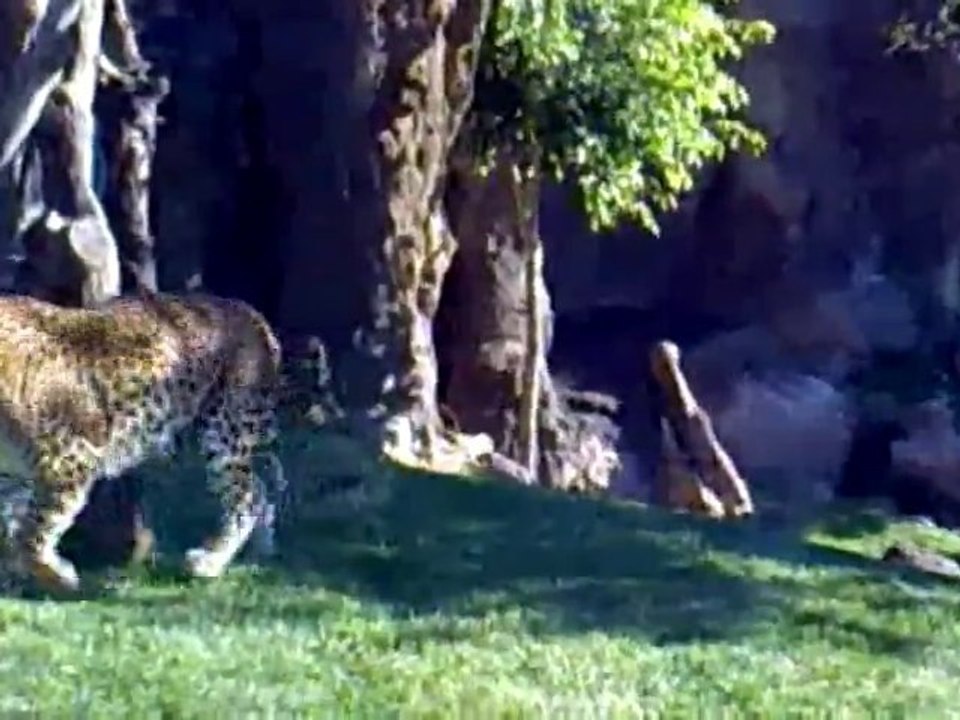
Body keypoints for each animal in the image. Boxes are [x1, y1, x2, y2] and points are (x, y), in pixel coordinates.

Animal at [0, 290, 283, 594]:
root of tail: (249, 311)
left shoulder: (68, 459)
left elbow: (32, 533)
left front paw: (61, 577)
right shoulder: (16, 475)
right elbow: (13, 528)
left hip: (222, 431)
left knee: (247, 496)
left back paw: (209, 563)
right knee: (260, 487)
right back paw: (258, 553)